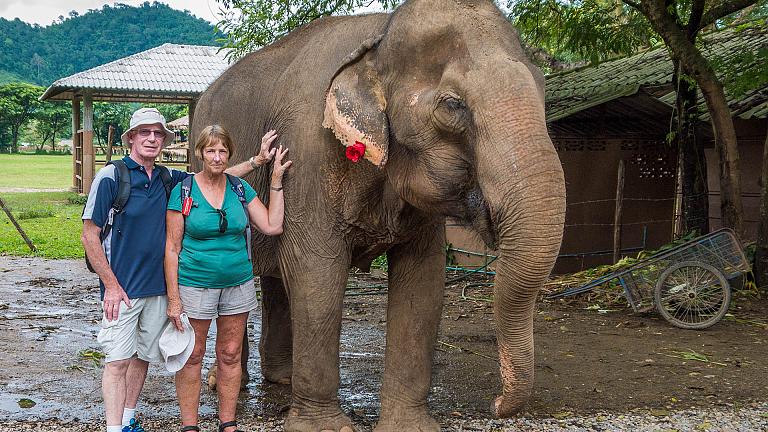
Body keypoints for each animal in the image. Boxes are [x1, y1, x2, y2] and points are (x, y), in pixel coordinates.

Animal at [191, 0, 566, 430]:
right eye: (452, 105)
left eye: (543, 89)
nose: (496, 404)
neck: (379, 37)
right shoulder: (307, 151)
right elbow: (315, 270)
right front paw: (326, 428)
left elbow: (423, 279)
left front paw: (410, 425)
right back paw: (226, 383)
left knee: (275, 279)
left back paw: (282, 379)